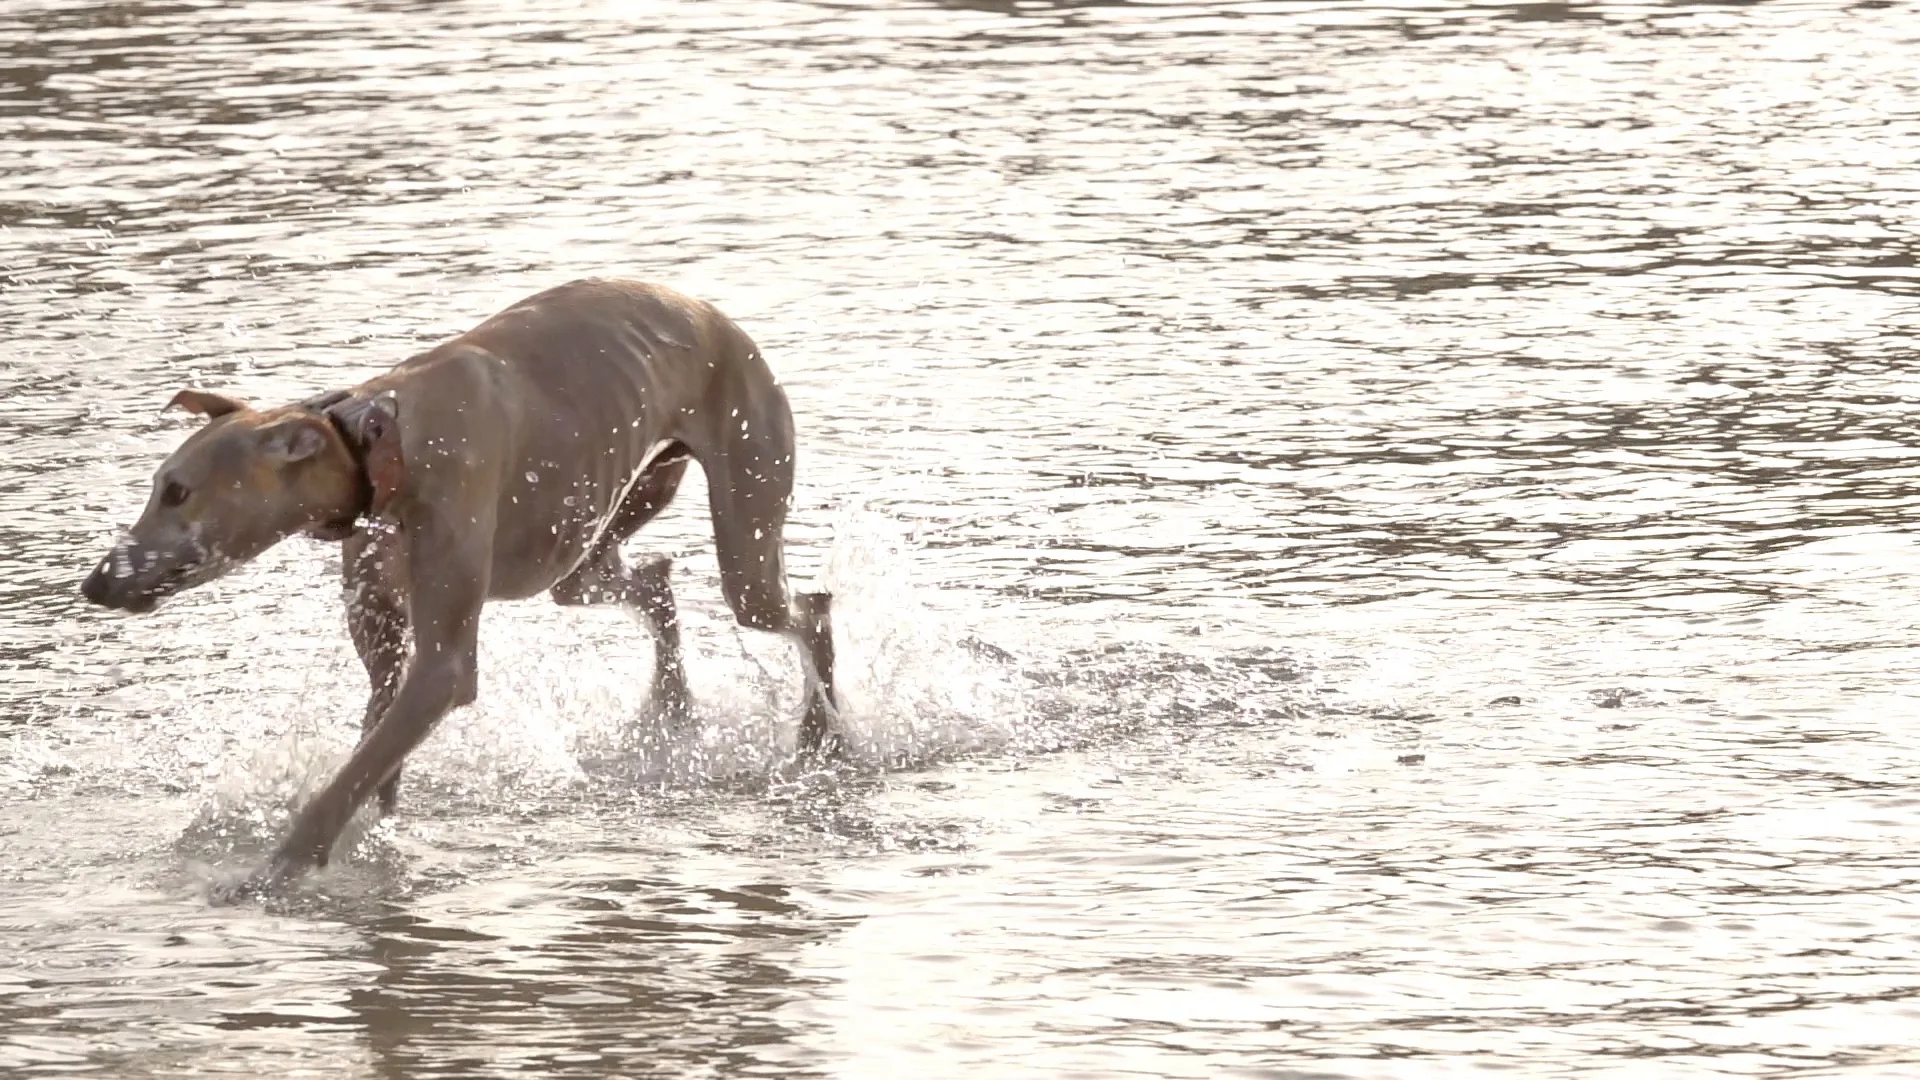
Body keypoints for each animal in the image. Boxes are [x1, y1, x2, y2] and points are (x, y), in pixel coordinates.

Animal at [76, 276, 840, 891]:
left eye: (177, 490)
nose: (94, 584)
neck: (378, 444)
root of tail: (710, 314)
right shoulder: (388, 653)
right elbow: (374, 757)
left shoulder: (442, 664)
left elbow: (351, 775)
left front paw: (277, 871)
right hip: (589, 546)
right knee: (656, 580)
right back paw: (674, 707)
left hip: (746, 527)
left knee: (810, 607)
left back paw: (821, 735)